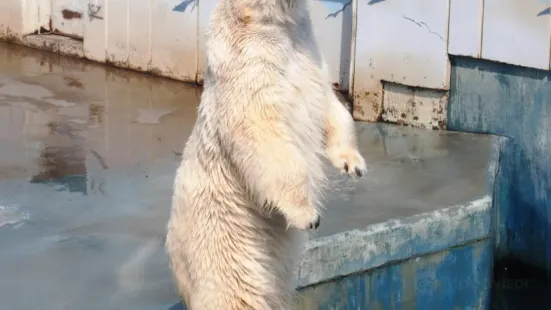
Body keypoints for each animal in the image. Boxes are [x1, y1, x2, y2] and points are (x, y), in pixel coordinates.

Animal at [166, 0, 368, 308]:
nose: (354, 167)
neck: (268, 20)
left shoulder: (306, 48)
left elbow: (327, 102)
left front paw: (352, 162)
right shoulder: (247, 60)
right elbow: (259, 127)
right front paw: (307, 214)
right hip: (224, 243)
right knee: (236, 294)